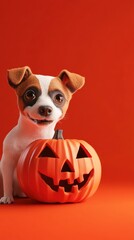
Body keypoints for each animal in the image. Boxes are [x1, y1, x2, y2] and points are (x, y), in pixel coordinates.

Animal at [0, 66, 85, 203]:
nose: (45, 108)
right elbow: (7, 181)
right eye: (30, 94)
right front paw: (7, 196)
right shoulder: (7, 162)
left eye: (59, 98)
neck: (36, 133)